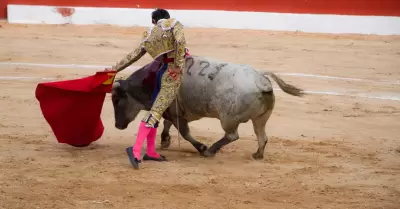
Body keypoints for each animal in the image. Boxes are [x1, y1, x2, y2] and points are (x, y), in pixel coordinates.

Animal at [110, 54, 304, 159]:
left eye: (117, 100)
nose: (117, 126)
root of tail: (260, 78)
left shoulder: (176, 114)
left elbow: (185, 133)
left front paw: (201, 147)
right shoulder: (172, 111)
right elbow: (167, 124)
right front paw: (165, 140)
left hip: (228, 118)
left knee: (232, 135)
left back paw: (210, 151)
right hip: (260, 119)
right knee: (262, 136)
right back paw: (257, 155)